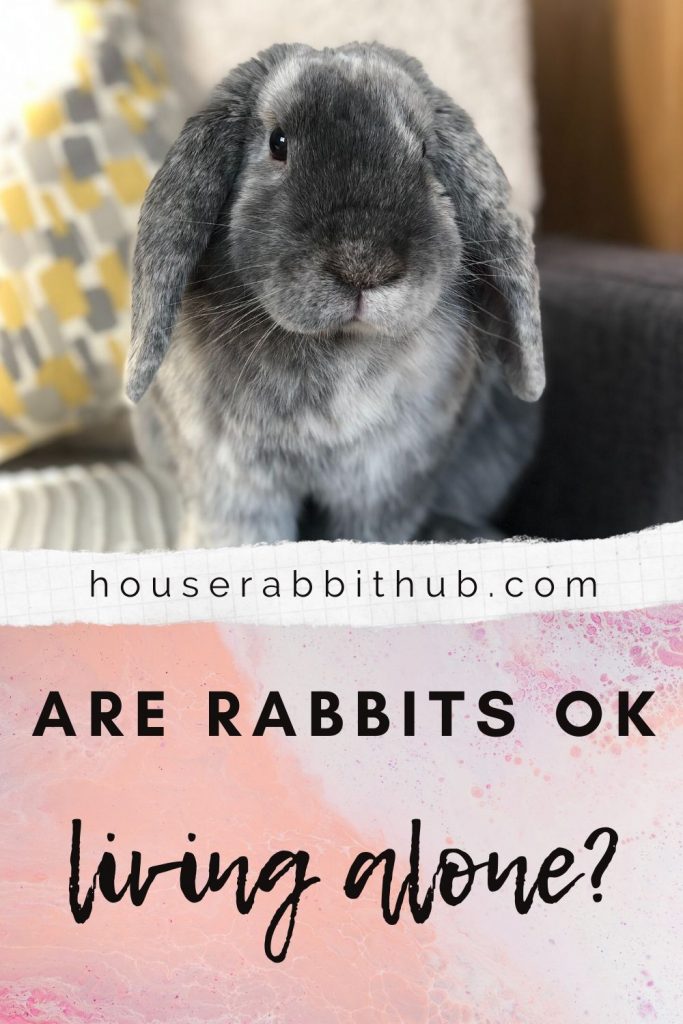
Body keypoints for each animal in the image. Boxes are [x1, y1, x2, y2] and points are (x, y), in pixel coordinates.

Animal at [125, 42, 545, 546]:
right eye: (278, 143)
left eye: (425, 150)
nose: (364, 265)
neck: (336, 347)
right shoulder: (233, 481)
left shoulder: (384, 484)